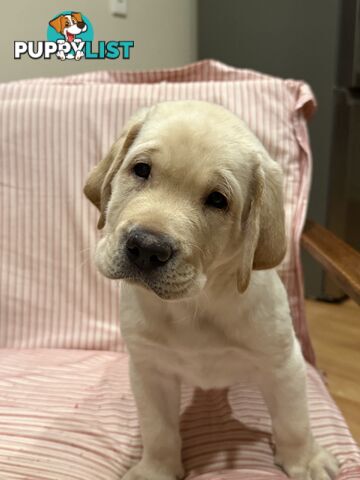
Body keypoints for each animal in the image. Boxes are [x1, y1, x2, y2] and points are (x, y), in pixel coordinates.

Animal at [83, 101, 338, 480]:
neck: (197, 303)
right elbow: (158, 429)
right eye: (141, 170)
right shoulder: (149, 368)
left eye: (218, 200)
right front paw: (156, 469)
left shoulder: (283, 363)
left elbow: (294, 419)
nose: (146, 248)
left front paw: (305, 459)